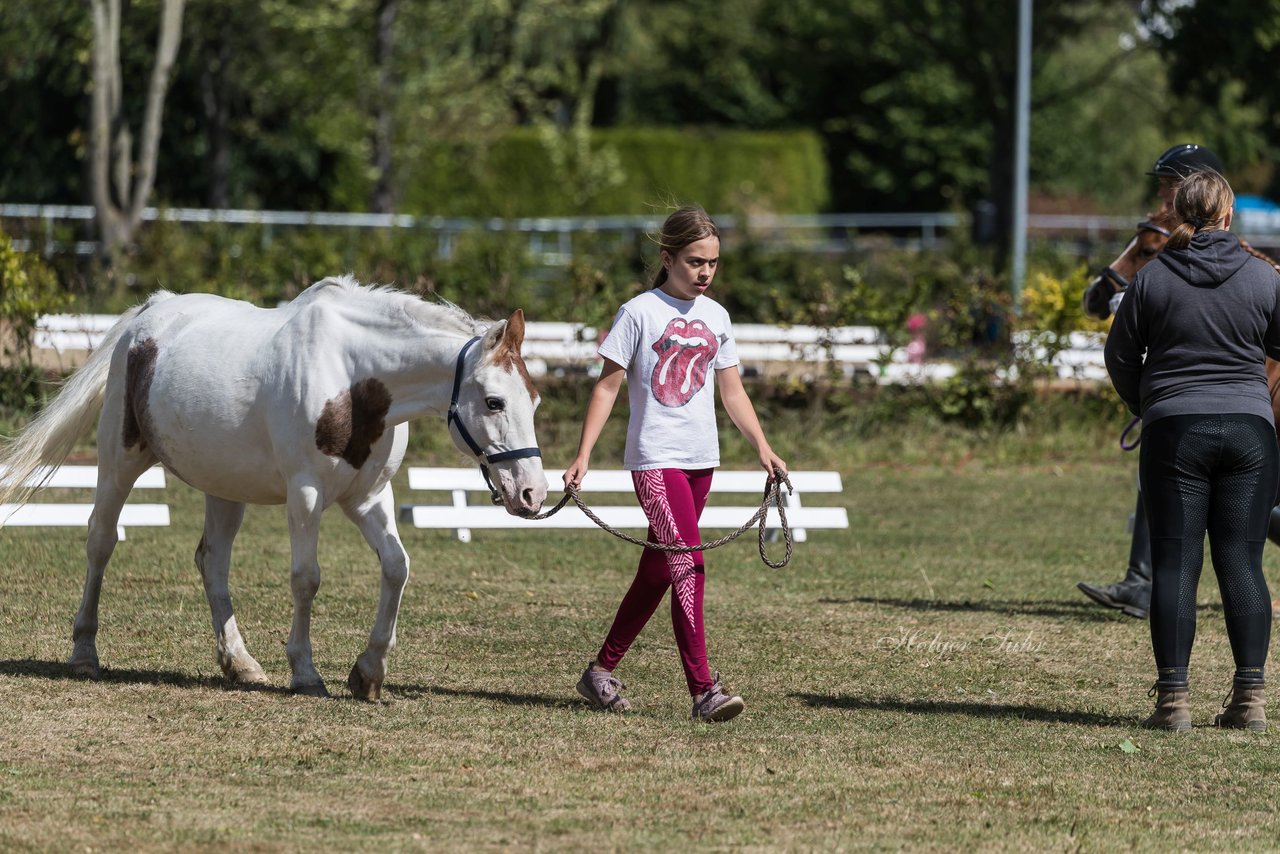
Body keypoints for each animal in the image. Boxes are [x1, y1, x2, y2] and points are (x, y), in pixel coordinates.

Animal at [0, 277, 545, 696]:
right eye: (494, 402)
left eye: (534, 400)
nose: (533, 493)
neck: (353, 377)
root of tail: (150, 313)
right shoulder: (306, 494)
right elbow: (306, 577)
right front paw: (305, 672)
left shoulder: (369, 498)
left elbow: (396, 568)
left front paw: (368, 672)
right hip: (120, 461)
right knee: (101, 540)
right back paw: (84, 652)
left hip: (223, 486)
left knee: (212, 561)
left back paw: (240, 663)